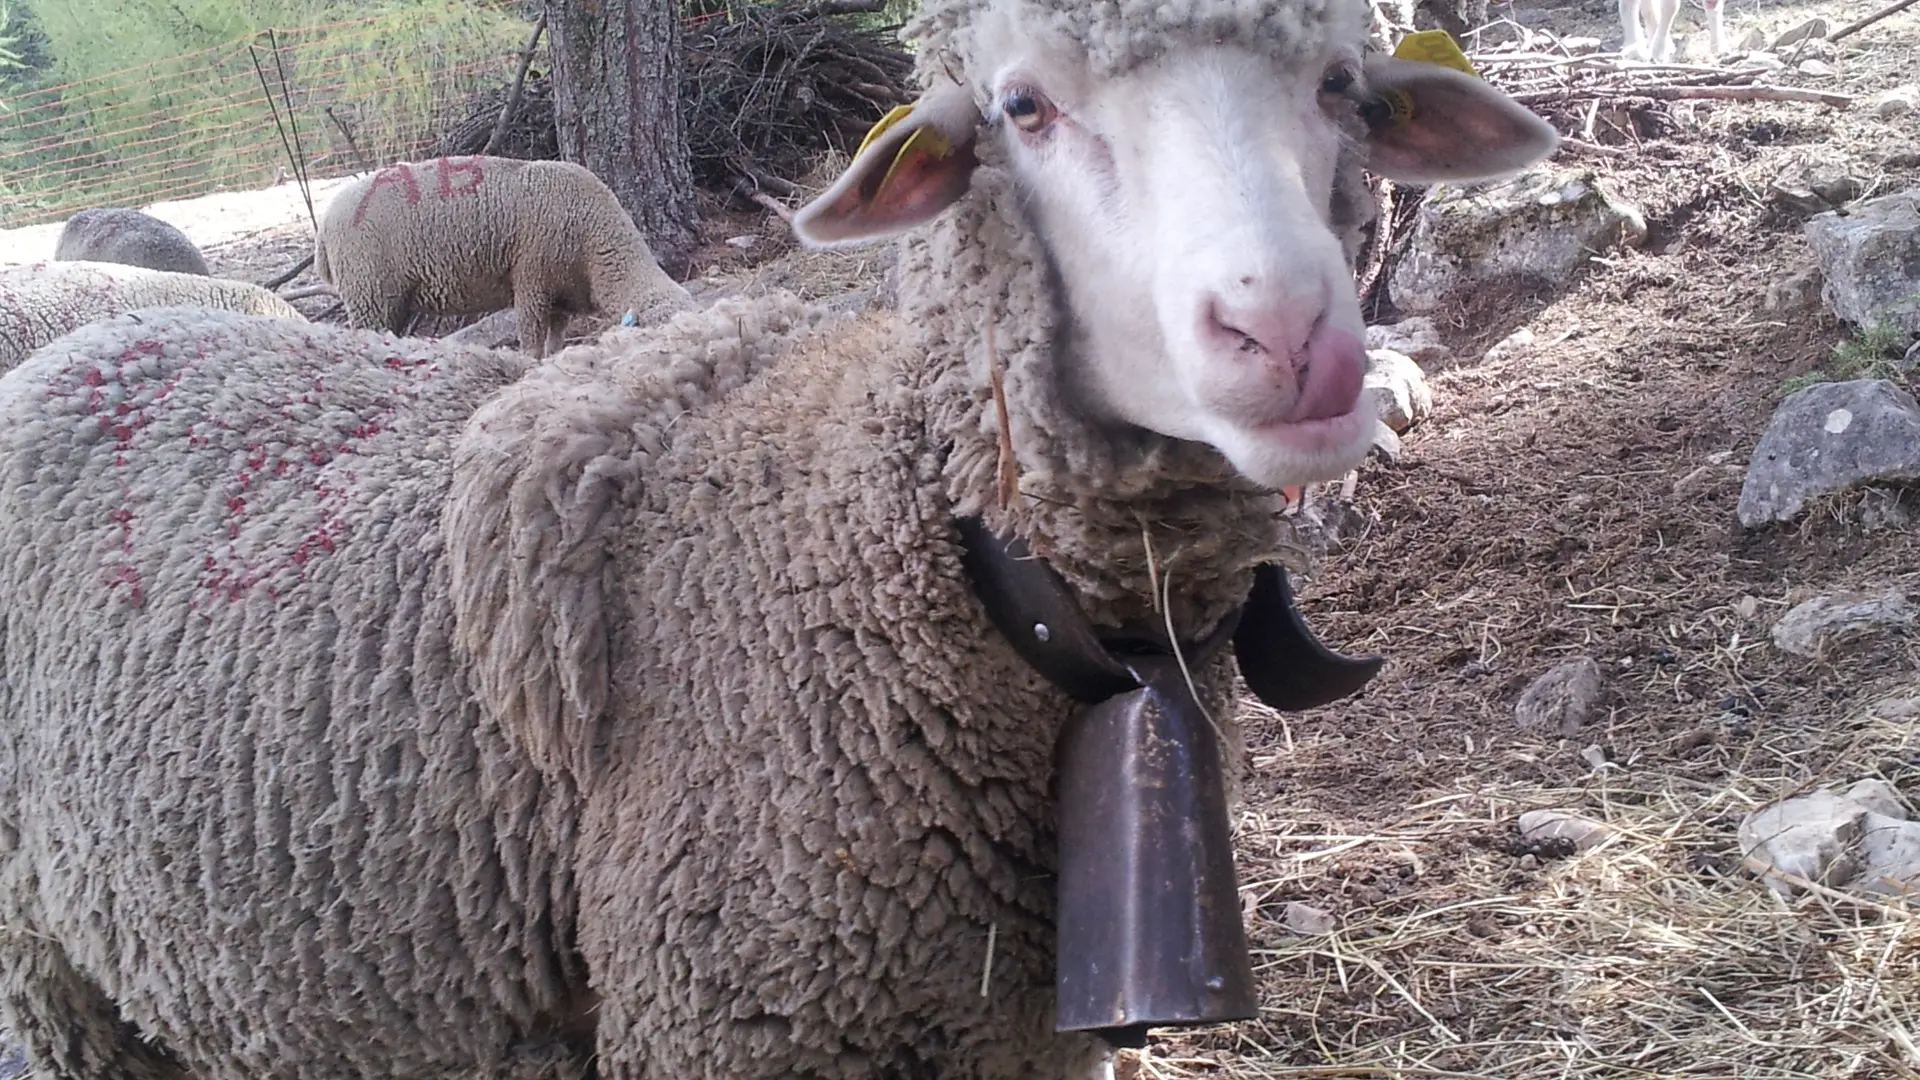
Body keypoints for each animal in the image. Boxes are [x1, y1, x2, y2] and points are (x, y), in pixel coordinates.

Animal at [314, 153, 698, 359]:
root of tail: (327, 217)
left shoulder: (561, 295)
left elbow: (555, 339)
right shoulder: (532, 279)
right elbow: (530, 339)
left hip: (391, 299)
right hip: (369, 292)